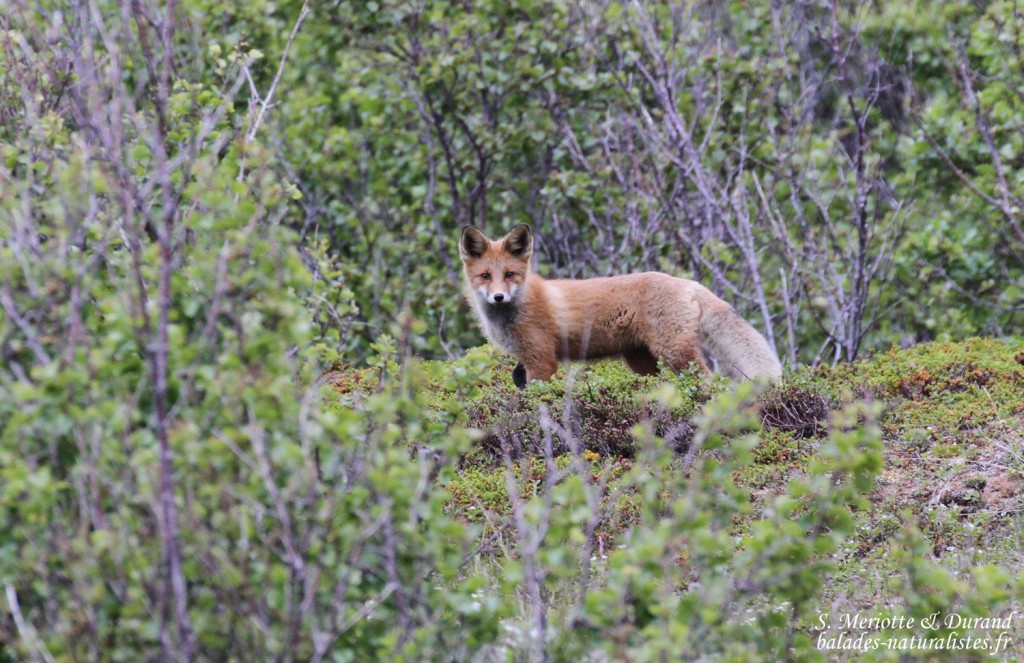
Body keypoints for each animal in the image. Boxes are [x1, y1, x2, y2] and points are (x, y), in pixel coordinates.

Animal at [459, 224, 783, 387]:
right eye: (485, 276)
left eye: (509, 275)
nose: (498, 297)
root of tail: (688, 282)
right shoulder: (524, 362)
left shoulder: (541, 359)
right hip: (642, 361)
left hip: (675, 353)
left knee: (707, 380)